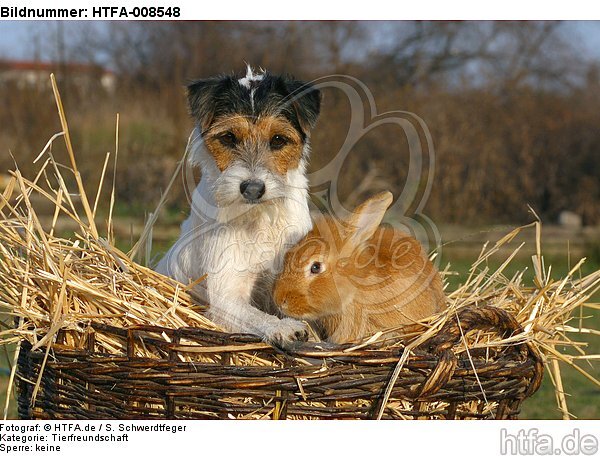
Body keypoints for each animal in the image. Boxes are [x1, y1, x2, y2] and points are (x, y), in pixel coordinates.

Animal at [157, 67, 322, 346]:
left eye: (278, 140)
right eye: (228, 137)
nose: (253, 189)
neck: (261, 218)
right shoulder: (227, 297)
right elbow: (257, 317)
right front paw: (285, 328)